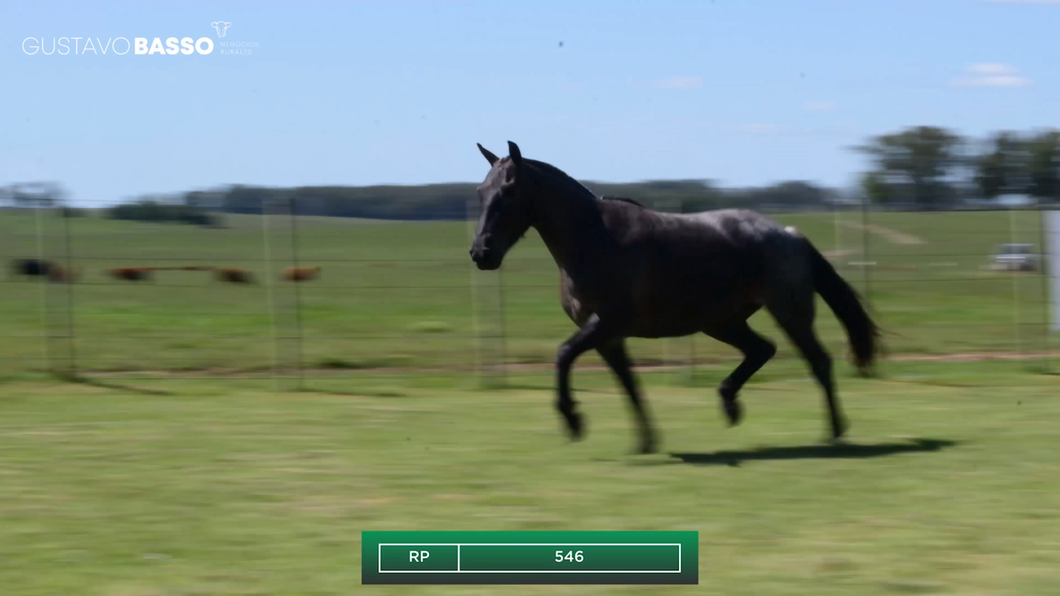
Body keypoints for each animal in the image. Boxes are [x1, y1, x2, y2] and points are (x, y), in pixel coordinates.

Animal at [470, 141, 877, 451]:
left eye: (508, 192)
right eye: (481, 193)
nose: (480, 253)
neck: (593, 238)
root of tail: (789, 234)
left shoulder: (607, 323)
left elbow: (563, 355)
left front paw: (573, 420)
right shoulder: (607, 335)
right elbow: (628, 384)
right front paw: (646, 441)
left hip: (788, 312)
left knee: (818, 362)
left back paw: (834, 432)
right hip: (722, 322)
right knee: (763, 349)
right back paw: (729, 402)